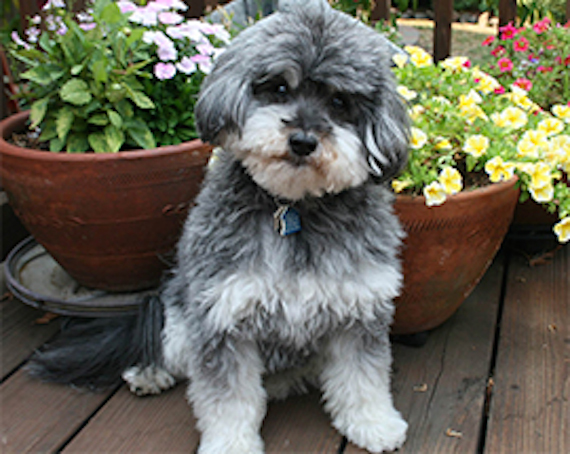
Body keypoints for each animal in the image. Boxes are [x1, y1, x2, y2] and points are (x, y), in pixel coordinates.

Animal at [28, 1, 408, 452]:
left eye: (339, 100)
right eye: (279, 88)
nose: (302, 141)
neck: (293, 208)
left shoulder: (360, 311)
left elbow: (364, 377)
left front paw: (374, 423)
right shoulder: (221, 317)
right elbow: (229, 399)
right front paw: (230, 443)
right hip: (179, 316)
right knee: (167, 349)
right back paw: (149, 373)